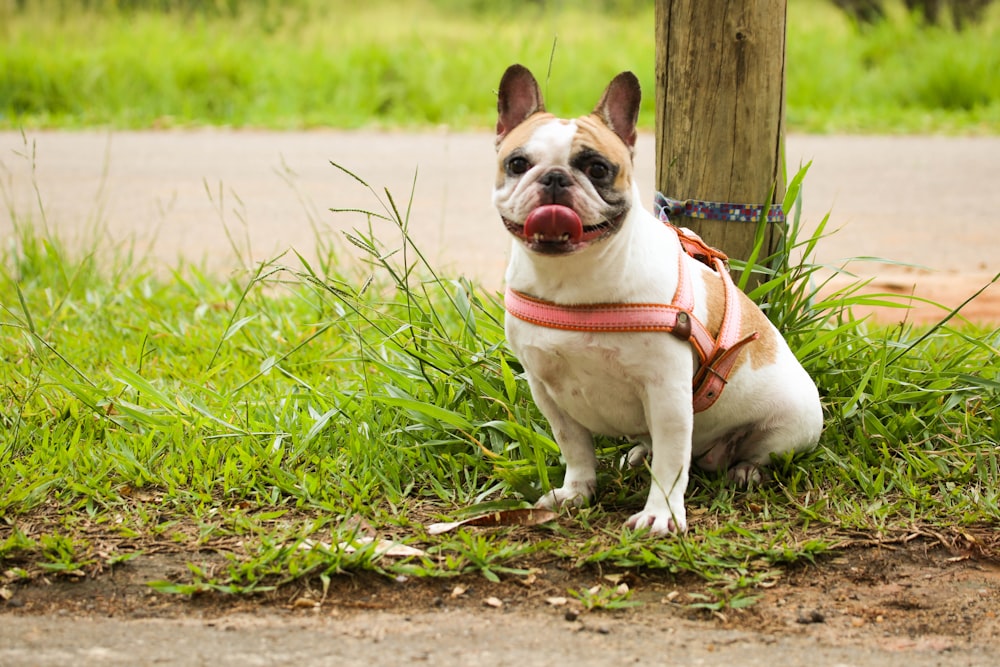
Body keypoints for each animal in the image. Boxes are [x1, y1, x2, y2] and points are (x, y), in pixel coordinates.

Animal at [494, 65, 828, 536]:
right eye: (517, 164)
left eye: (597, 168)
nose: (555, 178)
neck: (572, 278)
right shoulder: (547, 391)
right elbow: (575, 447)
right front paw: (576, 492)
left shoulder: (667, 393)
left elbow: (672, 464)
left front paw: (661, 515)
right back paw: (639, 454)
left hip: (790, 425)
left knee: (757, 452)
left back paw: (746, 470)